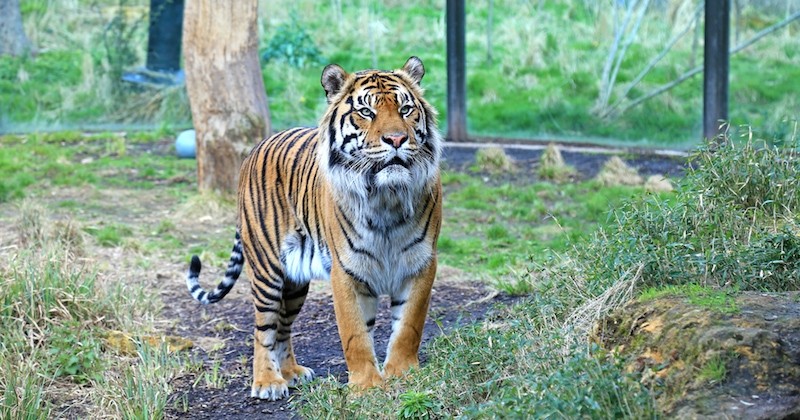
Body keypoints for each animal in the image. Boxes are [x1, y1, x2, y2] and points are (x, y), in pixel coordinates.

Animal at [188, 55, 444, 400]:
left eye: (405, 109)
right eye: (367, 112)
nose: (396, 139)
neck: (386, 195)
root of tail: (254, 149)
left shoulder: (420, 264)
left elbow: (408, 327)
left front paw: (403, 375)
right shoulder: (346, 271)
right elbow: (355, 334)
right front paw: (366, 386)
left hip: (295, 283)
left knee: (283, 325)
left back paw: (292, 373)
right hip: (266, 270)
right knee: (262, 327)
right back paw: (267, 382)